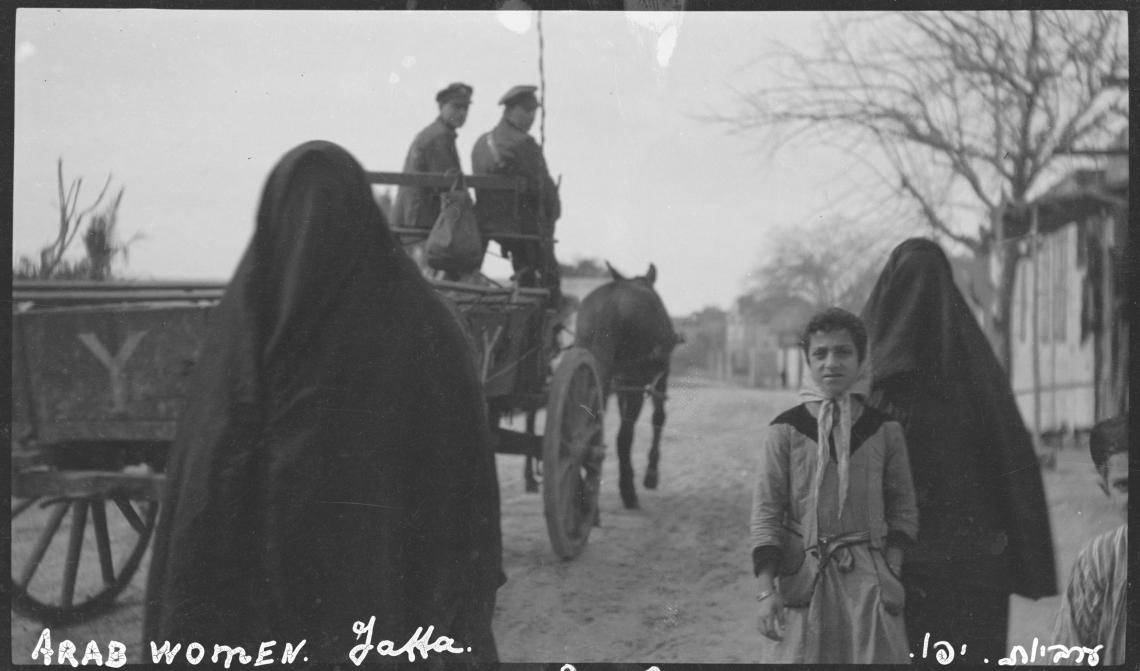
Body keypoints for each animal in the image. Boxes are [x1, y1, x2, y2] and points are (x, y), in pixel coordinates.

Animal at [579, 262, 674, 508]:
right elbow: (658, 418)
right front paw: (651, 475)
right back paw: (627, 491)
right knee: (623, 437)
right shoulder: (658, 378)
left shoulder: (622, 383)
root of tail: (611, 303)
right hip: (634, 382)